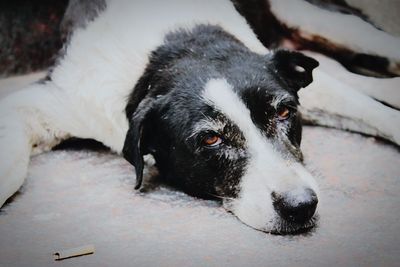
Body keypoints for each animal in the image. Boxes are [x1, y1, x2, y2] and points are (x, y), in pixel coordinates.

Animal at [0, 0, 400, 234]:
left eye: (284, 112)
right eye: (210, 139)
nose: (301, 206)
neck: (179, 47)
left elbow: (373, 112)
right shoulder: (58, 96)